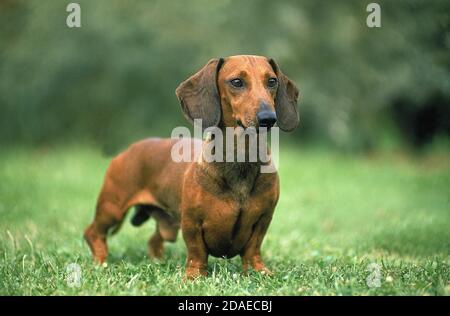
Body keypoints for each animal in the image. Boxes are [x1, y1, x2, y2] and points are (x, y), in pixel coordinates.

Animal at [84, 55, 298, 278]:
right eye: (237, 82)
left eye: (272, 81)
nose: (268, 118)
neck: (240, 161)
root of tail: (127, 150)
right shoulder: (192, 221)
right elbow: (197, 251)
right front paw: (194, 276)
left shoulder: (263, 219)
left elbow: (253, 248)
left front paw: (260, 271)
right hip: (112, 207)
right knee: (92, 233)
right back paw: (101, 262)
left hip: (167, 225)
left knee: (153, 240)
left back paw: (157, 261)